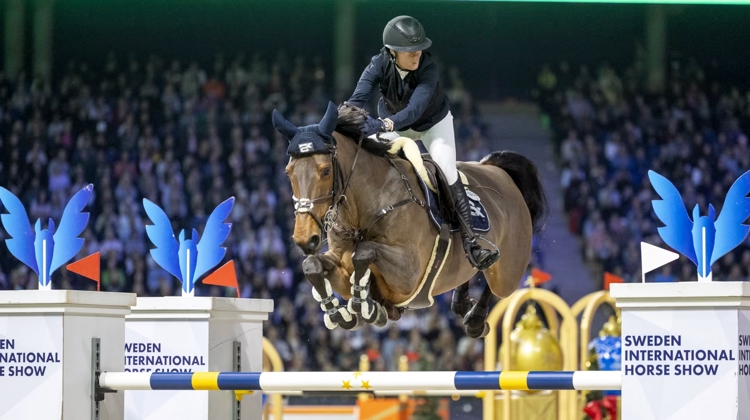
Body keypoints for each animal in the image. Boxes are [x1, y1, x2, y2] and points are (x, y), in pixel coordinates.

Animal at [274, 101, 548, 338]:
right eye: (288, 173)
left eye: (325, 171)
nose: (305, 239)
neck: (362, 210)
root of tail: (499, 171)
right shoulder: (339, 261)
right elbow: (313, 265)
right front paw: (340, 312)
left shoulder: (409, 272)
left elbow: (364, 252)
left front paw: (365, 305)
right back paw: (461, 301)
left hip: (509, 272)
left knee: (496, 285)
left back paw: (476, 318)